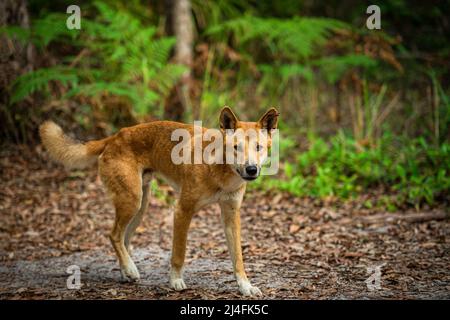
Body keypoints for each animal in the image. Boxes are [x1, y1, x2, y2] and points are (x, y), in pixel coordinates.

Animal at [39, 106, 278, 296]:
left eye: (258, 147)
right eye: (236, 147)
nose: (251, 169)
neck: (220, 169)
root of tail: (115, 136)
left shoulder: (231, 216)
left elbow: (238, 258)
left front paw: (245, 287)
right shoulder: (182, 211)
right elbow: (179, 253)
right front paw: (175, 281)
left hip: (140, 207)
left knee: (123, 239)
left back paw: (127, 271)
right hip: (132, 201)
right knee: (114, 235)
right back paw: (130, 269)